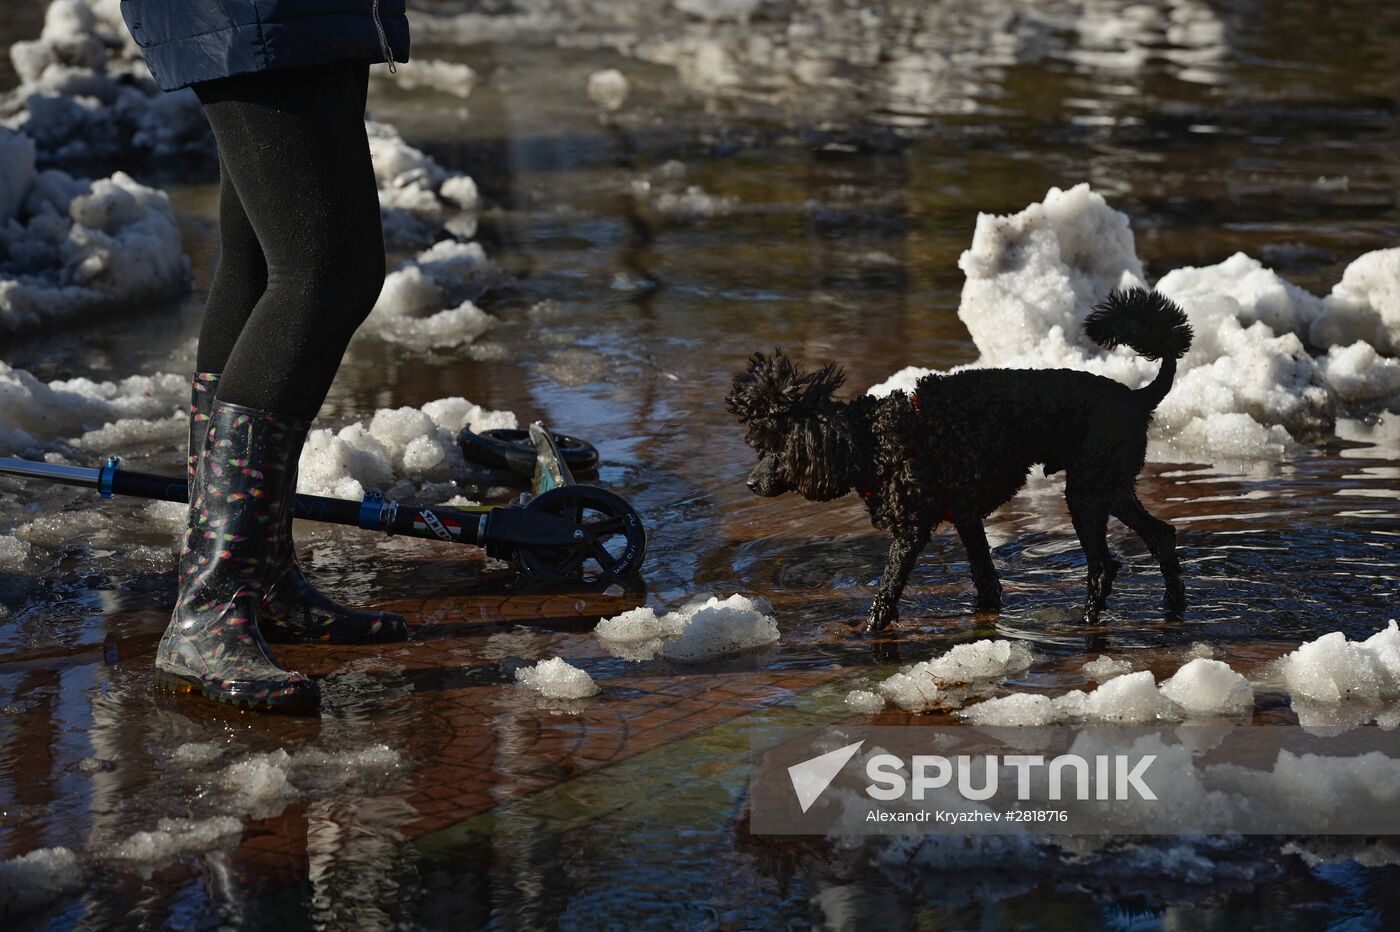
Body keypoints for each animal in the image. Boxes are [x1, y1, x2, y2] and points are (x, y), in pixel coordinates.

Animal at [728, 286, 1198, 626]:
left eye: (778, 447)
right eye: (761, 445)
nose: (751, 482)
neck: (875, 439)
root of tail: (1138, 398)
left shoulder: (911, 529)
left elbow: (888, 591)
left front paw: (872, 629)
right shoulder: (967, 519)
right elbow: (986, 580)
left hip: (1088, 492)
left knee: (1103, 567)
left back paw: (1087, 621)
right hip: (1110, 486)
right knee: (1161, 536)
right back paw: (1173, 606)